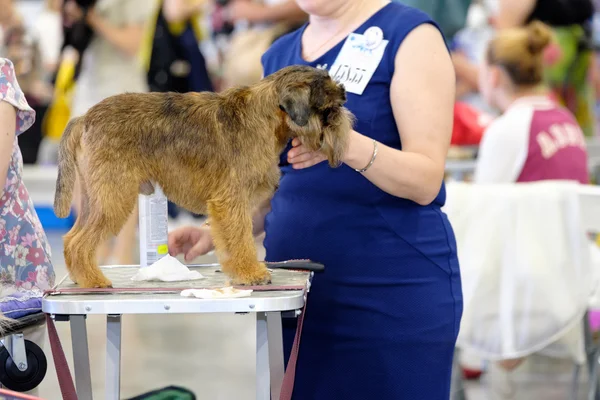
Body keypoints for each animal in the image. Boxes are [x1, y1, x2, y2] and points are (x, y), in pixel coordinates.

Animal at [54, 67, 354, 290]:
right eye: (328, 109)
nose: (346, 124)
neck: (265, 115)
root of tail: (84, 118)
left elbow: (232, 239)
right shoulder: (232, 201)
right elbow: (240, 239)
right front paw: (250, 272)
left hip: (95, 198)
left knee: (71, 238)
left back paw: (81, 276)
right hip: (112, 198)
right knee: (80, 242)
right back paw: (93, 280)